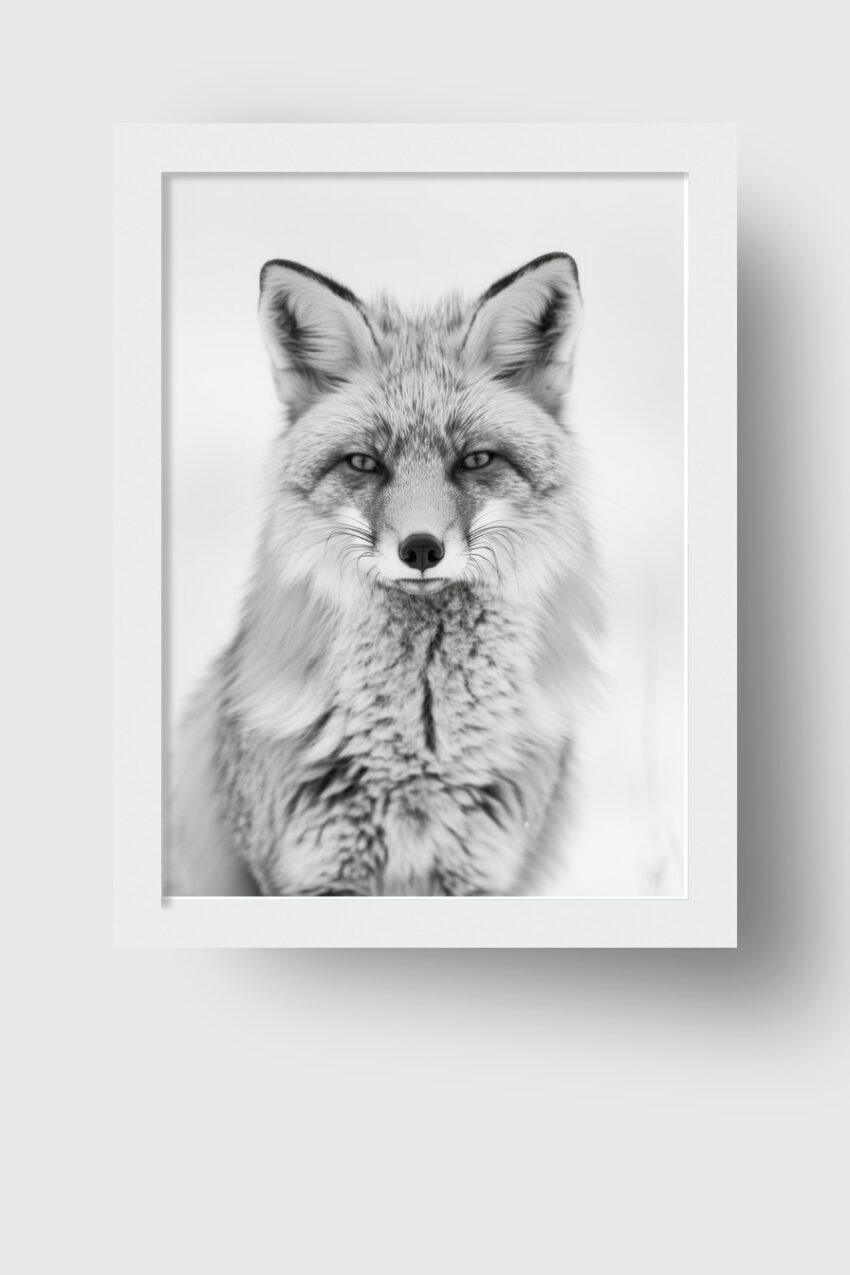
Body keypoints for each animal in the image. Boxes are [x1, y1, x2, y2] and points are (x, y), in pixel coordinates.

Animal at [169, 252, 603, 897]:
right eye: (365, 463)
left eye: (475, 460)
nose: (421, 549)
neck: (420, 750)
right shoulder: (313, 869)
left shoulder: (479, 869)